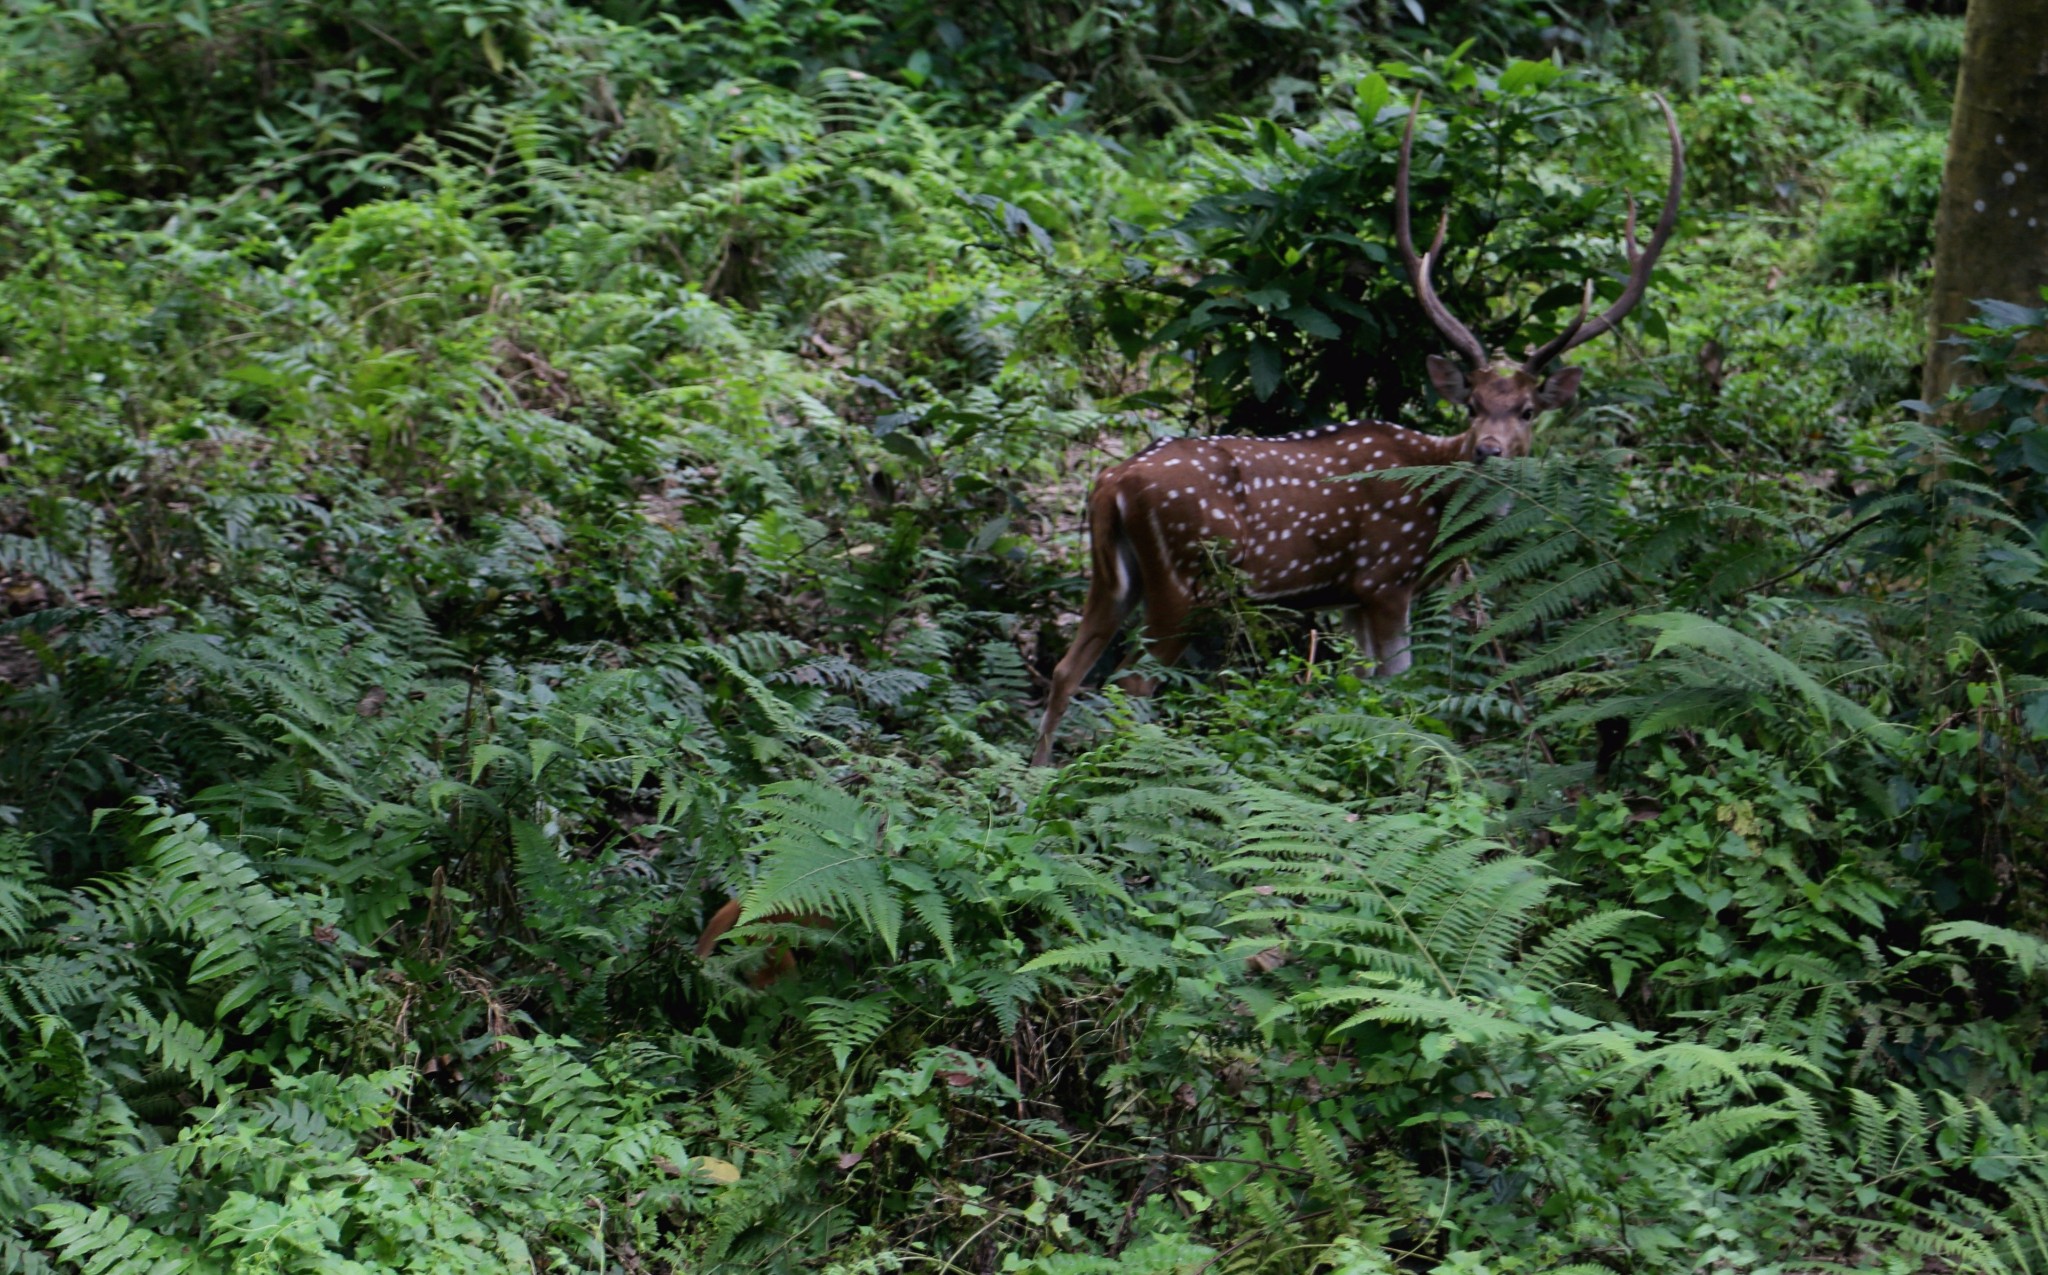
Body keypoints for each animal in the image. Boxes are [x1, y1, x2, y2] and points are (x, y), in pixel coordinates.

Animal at [1024, 94, 1679, 769]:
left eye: (1526, 410)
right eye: (1472, 404)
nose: (1489, 450)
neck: (1437, 516)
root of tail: (1111, 484)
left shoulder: (1347, 598)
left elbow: (1361, 691)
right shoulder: (1385, 577)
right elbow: (1399, 689)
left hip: (1112, 577)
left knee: (1067, 671)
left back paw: (1037, 778)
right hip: (1184, 575)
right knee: (1132, 682)